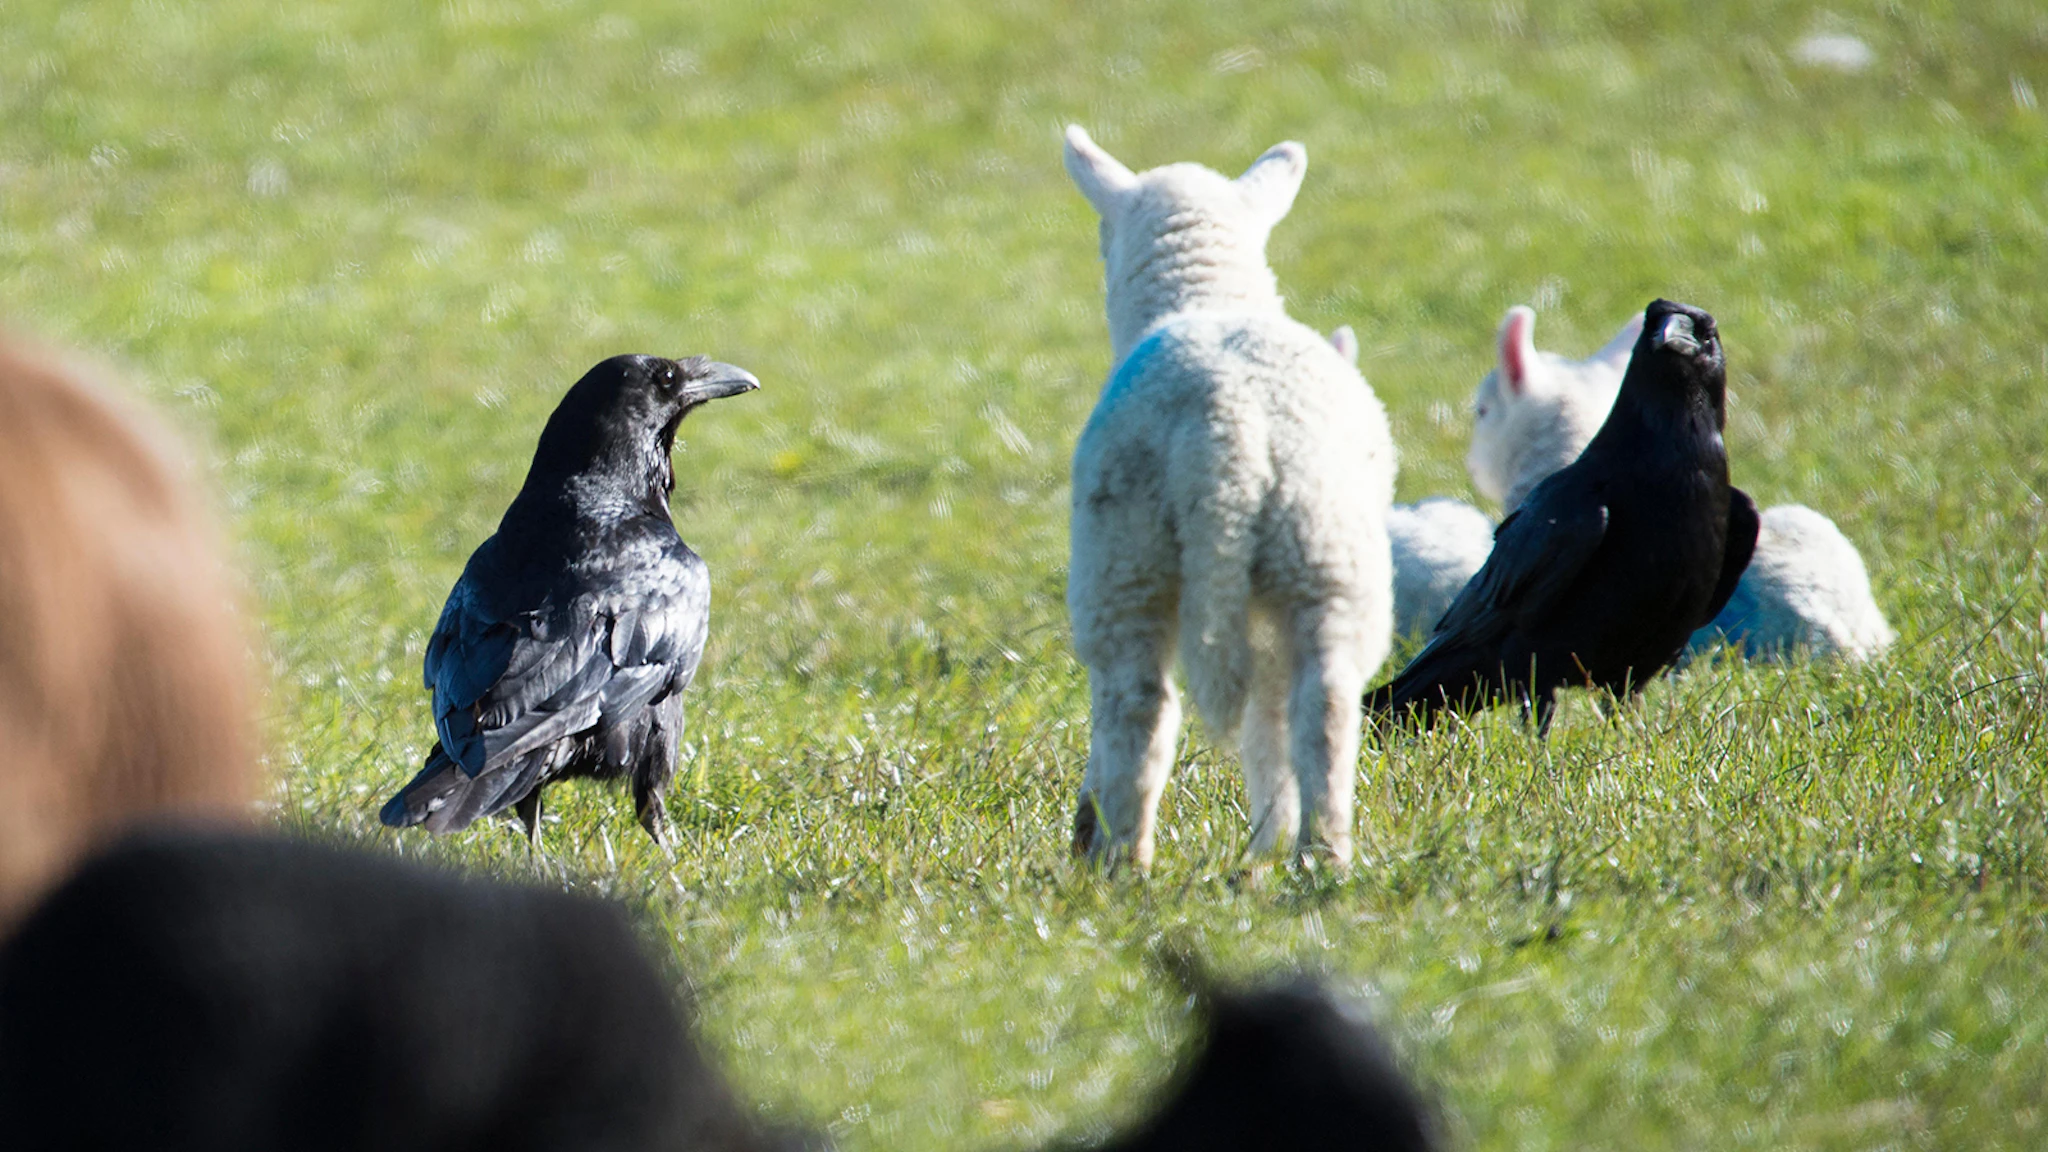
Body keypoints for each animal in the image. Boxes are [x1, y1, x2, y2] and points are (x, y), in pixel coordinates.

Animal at [1062, 126, 1395, 869]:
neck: (1208, 294)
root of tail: (1225, 417)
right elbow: (1266, 723)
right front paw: (1268, 838)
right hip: (1311, 557)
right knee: (1317, 706)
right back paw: (1315, 856)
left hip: (1136, 557)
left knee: (1142, 705)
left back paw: (1127, 860)